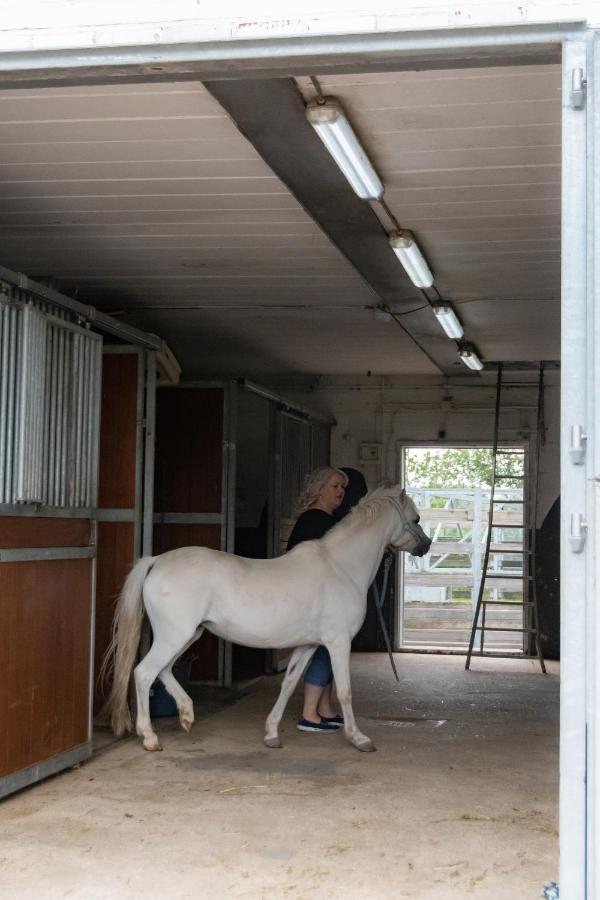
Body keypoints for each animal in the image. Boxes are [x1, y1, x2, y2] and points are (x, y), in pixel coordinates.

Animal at [104, 486, 432, 752]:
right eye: (416, 519)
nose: (426, 545)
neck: (340, 567)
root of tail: (156, 561)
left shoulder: (308, 645)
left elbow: (289, 684)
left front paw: (272, 733)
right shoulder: (338, 643)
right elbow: (344, 691)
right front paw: (359, 738)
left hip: (187, 635)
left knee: (164, 671)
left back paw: (186, 714)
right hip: (175, 636)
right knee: (144, 673)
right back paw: (150, 737)